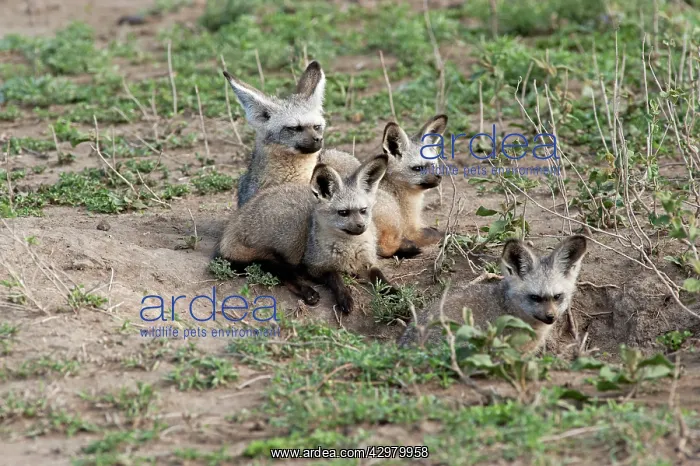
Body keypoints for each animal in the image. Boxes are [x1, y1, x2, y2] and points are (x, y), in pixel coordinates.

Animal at [214, 154, 396, 314]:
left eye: (363, 210)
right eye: (343, 213)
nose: (361, 226)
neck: (350, 251)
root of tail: (233, 222)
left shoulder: (369, 262)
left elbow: (380, 277)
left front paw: (394, 293)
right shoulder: (315, 266)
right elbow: (335, 277)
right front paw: (344, 297)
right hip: (293, 235)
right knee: (284, 274)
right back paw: (308, 292)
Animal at [318, 115, 448, 258]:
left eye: (434, 165)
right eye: (417, 168)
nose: (439, 177)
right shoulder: (411, 229)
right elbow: (437, 233)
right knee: (385, 248)